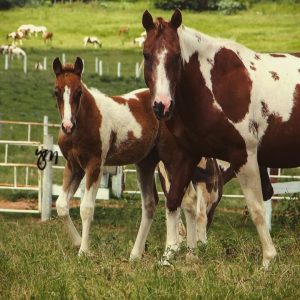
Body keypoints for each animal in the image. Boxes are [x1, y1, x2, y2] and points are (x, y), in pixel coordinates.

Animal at [141, 9, 300, 268]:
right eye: (146, 54)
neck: (215, 86)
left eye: (176, 56)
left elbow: (256, 209)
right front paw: (167, 257)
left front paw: (268, 260)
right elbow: (173, 200)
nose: (161, 105)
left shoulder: (244, 157)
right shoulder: (187, 155)